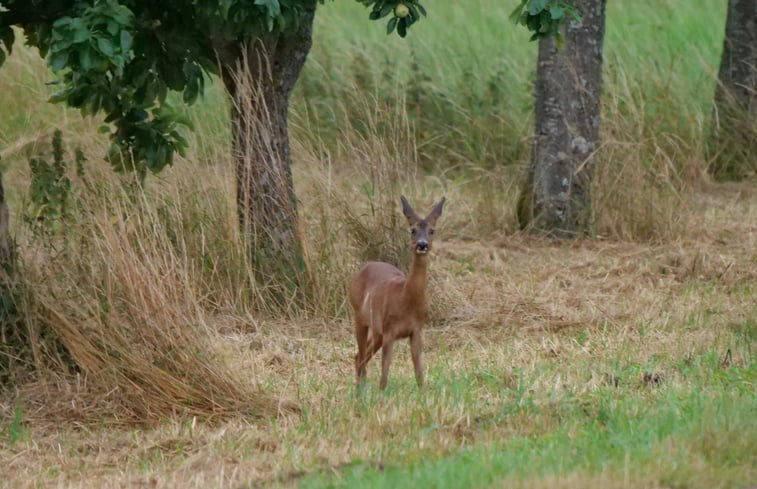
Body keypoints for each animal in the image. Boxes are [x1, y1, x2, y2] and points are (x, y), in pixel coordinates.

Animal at [348, 194, 442, 388]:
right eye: (413, 230)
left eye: (432, 230)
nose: (422, 245)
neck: (406, 298)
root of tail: (364, 267)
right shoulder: (390, 330)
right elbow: (384, 375)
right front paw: (381, 393)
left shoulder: (416, 330)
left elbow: (419, 375)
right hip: (360, 316)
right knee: (360, 358)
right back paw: (359, 391)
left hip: (377, 330)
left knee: (360, 357)